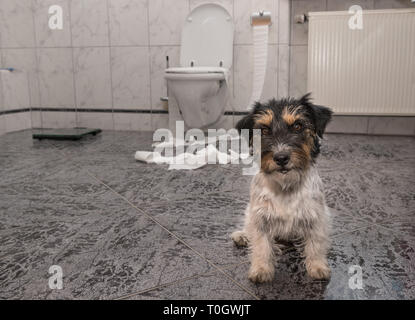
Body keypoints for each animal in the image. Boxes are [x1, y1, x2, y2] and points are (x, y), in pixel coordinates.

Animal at [232, 93, 334, 282]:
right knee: (248, 226)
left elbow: (315, 244)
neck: (285, 186)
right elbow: (262, 245)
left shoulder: (316, 217)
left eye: (297, 126)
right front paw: (261, 269)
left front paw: (317, 267)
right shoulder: (260, 217)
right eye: (264, 130)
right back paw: (241, 235)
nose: (281, 158)